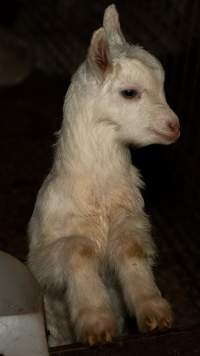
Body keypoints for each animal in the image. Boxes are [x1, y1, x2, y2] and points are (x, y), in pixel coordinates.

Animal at [27, 4, 180, 346]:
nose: (174, 126)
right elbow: (80, 250)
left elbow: (129, 249)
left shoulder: (130, 222)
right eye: (129, 92)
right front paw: (96, 324)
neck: (98, 196)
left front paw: (153, 312)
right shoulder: (45, 259)